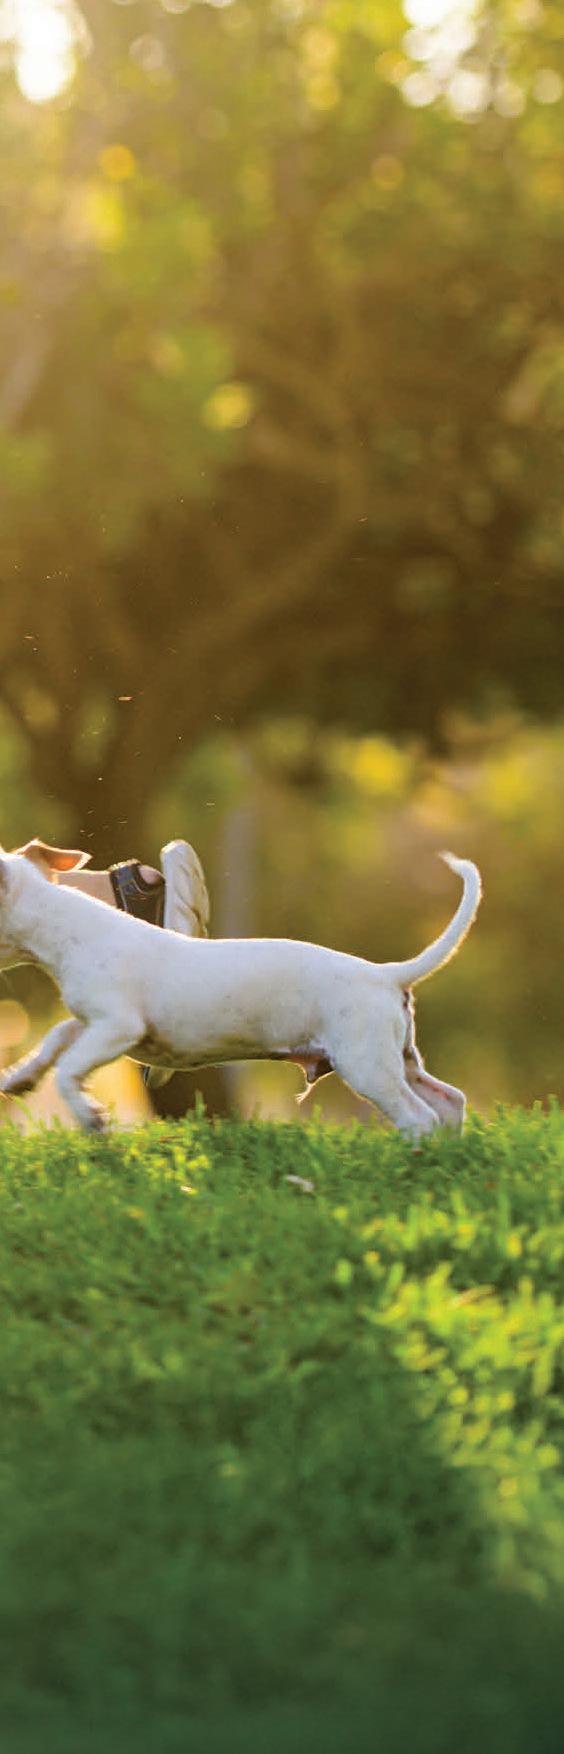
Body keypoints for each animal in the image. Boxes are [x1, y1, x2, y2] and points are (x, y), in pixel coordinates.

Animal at [0, 844, 481, 1136]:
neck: (60, 923)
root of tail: (385, 975)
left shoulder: (118, 1026)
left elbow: (68, 1068)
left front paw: (90, 1116)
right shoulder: (91, 1023)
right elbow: (55, 1039)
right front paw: (19, 1077)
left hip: (367, 1065)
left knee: (419, 1117)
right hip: (399, 1060)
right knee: (450, 1102)